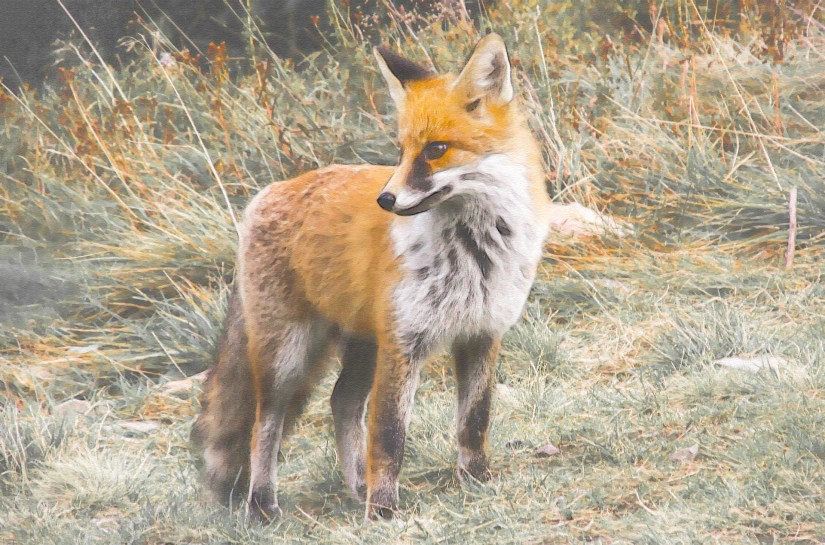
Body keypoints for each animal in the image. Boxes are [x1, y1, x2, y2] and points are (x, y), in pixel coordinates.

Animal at [192, 33, 551, 520]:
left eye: (436, 149)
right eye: (401, 150)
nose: (386, 199)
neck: (473, 252)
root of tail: (268, 192)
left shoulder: (482, 332)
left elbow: (474, 422)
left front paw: (477, 481)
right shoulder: (403, 343)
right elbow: (389, 435)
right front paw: (383, 510)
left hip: (362, 345)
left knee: (341, 402)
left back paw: (356, 486)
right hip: (287, 355)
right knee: (264, 423)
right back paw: (264, 504)